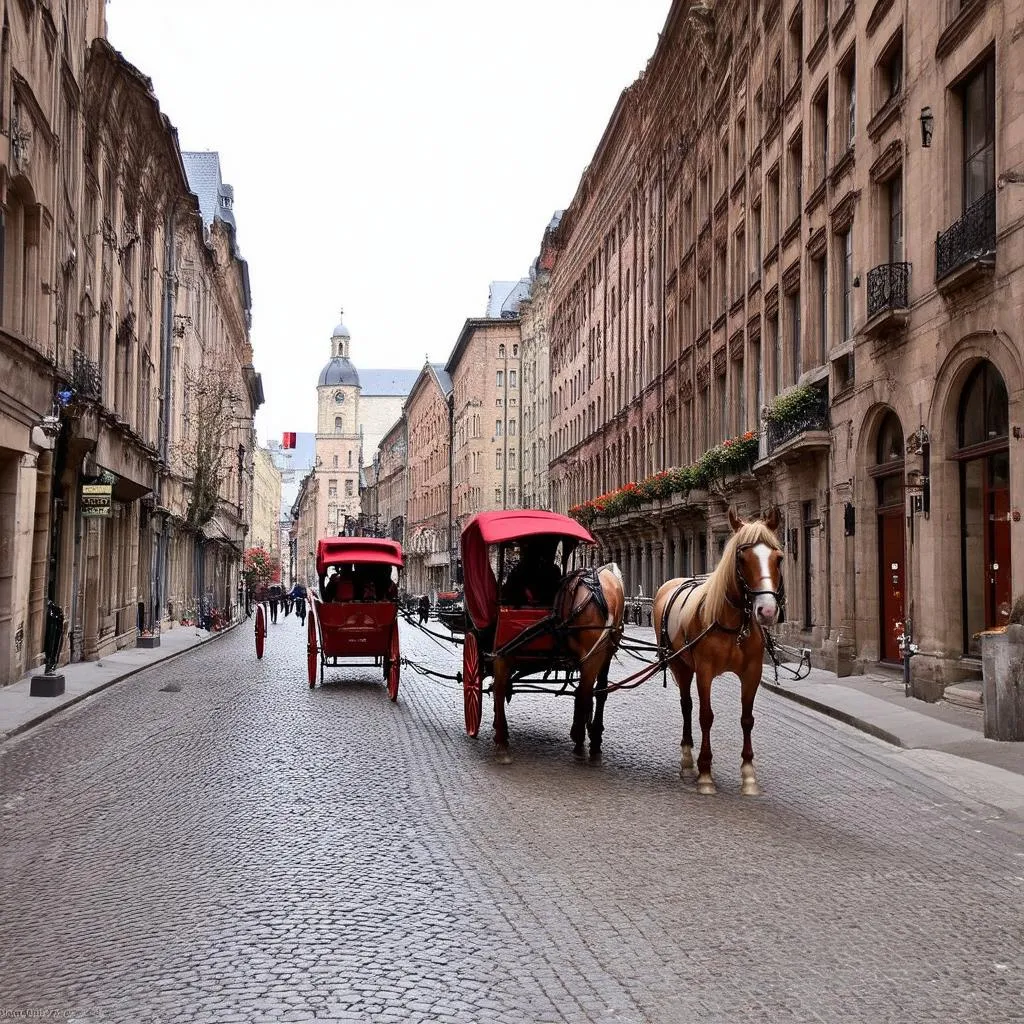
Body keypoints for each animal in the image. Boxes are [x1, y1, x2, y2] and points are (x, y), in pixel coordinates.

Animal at [655, 507, 782, 794]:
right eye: (741, 557)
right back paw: (688, 761)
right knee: (687, 706)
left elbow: (747, 719)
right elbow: (705, 716)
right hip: (680, 665)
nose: (767, 610)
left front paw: (748, 775)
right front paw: (705, 773)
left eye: (778, 558)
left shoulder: (752, 672)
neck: (735, 626)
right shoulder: (704, 671)